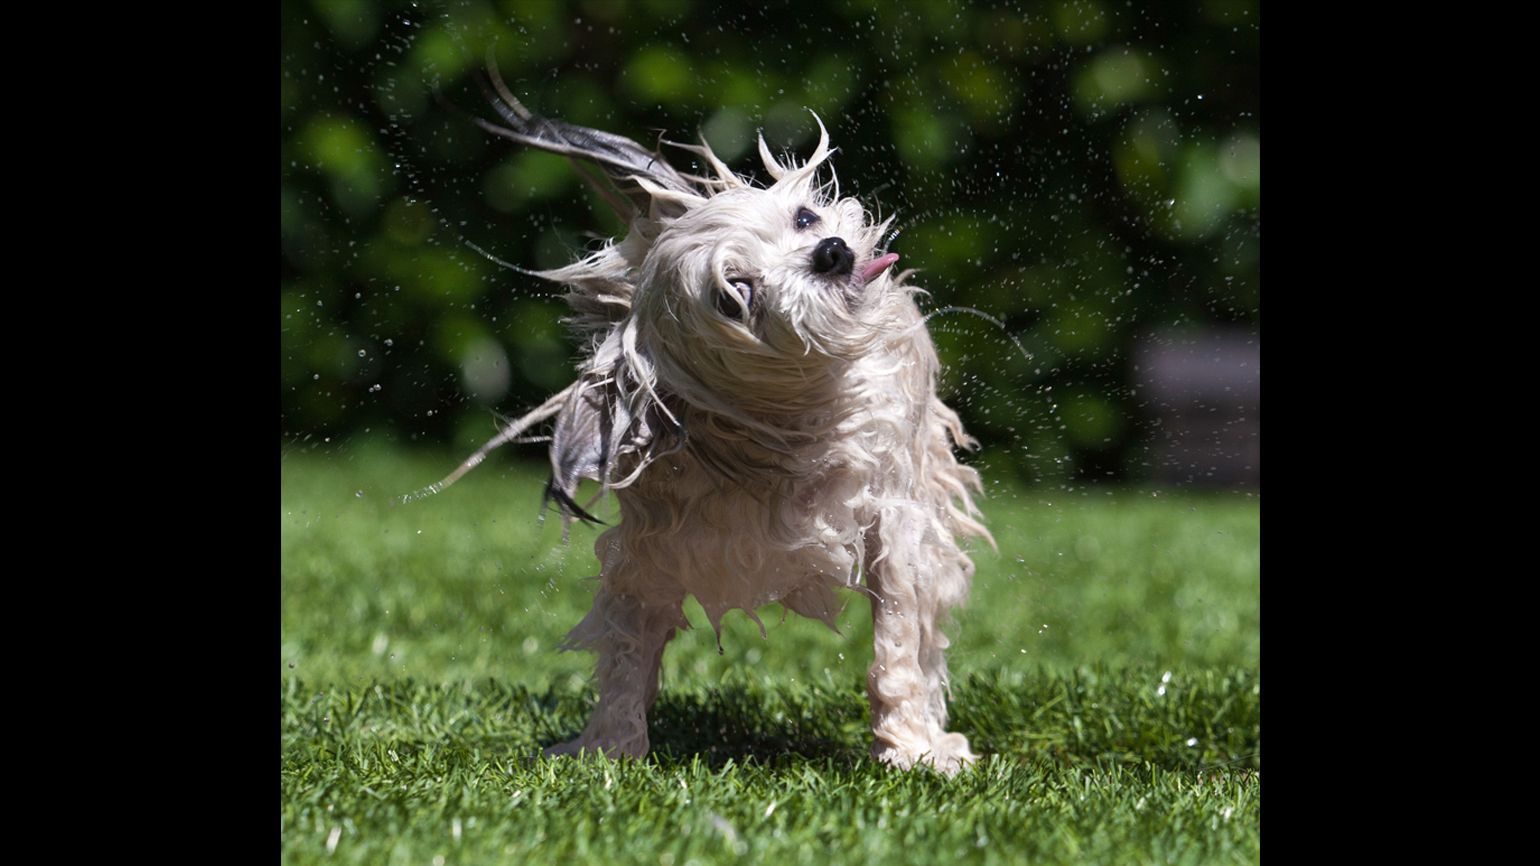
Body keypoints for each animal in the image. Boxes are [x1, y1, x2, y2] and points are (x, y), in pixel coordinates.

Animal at [421, 73, 997, 770]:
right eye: (734, 293)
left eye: (804, 218)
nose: (831, 252)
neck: (783, 434)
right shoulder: (646, 555)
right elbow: (626, 655)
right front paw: (610, 751)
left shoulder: (893, 516)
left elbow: (898, 644)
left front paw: (911, 748)